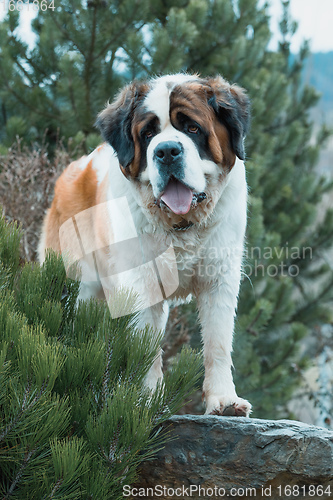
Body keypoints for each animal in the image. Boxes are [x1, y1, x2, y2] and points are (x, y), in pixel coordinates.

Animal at [38, 73, 252, 418]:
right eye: (148, 134)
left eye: (192, 128)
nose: (166, 151)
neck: (181, 226)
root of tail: (70, 173)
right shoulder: (140, 284)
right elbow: (145, 347)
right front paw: (146, 403)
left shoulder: (219, 279)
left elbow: (217, 343)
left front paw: (223, 400)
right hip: (79, 287)